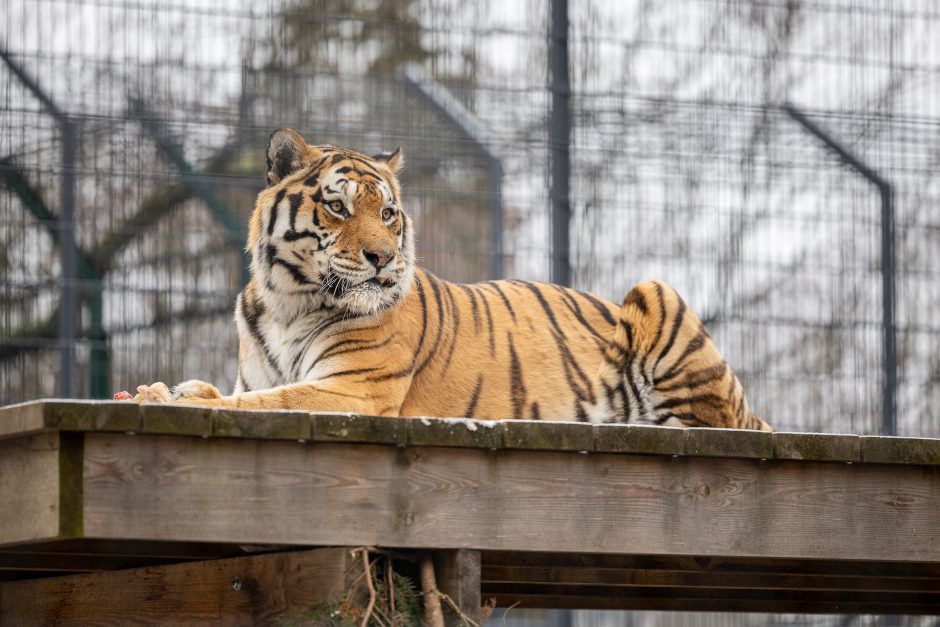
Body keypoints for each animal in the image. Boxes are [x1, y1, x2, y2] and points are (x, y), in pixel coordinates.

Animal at [136, 127, 776, 432]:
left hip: (656, 292)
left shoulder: (353, 389)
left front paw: (168, 399)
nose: (381, 258)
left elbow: (271, 401)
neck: (287, 299)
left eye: (387, 213)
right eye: (338, 207)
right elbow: (243, 391)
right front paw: (173, 389)